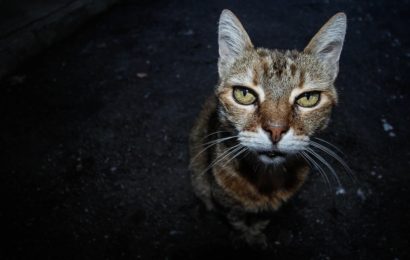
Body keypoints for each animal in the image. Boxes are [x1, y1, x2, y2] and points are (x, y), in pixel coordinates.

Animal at [189, 9, 346, 247]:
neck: (266, 180)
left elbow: (263, 218)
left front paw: (256, 231)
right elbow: (237, 220)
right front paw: (245, 235)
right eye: (244, 94)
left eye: (309, 98)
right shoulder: (226, 203)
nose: (275, 130)